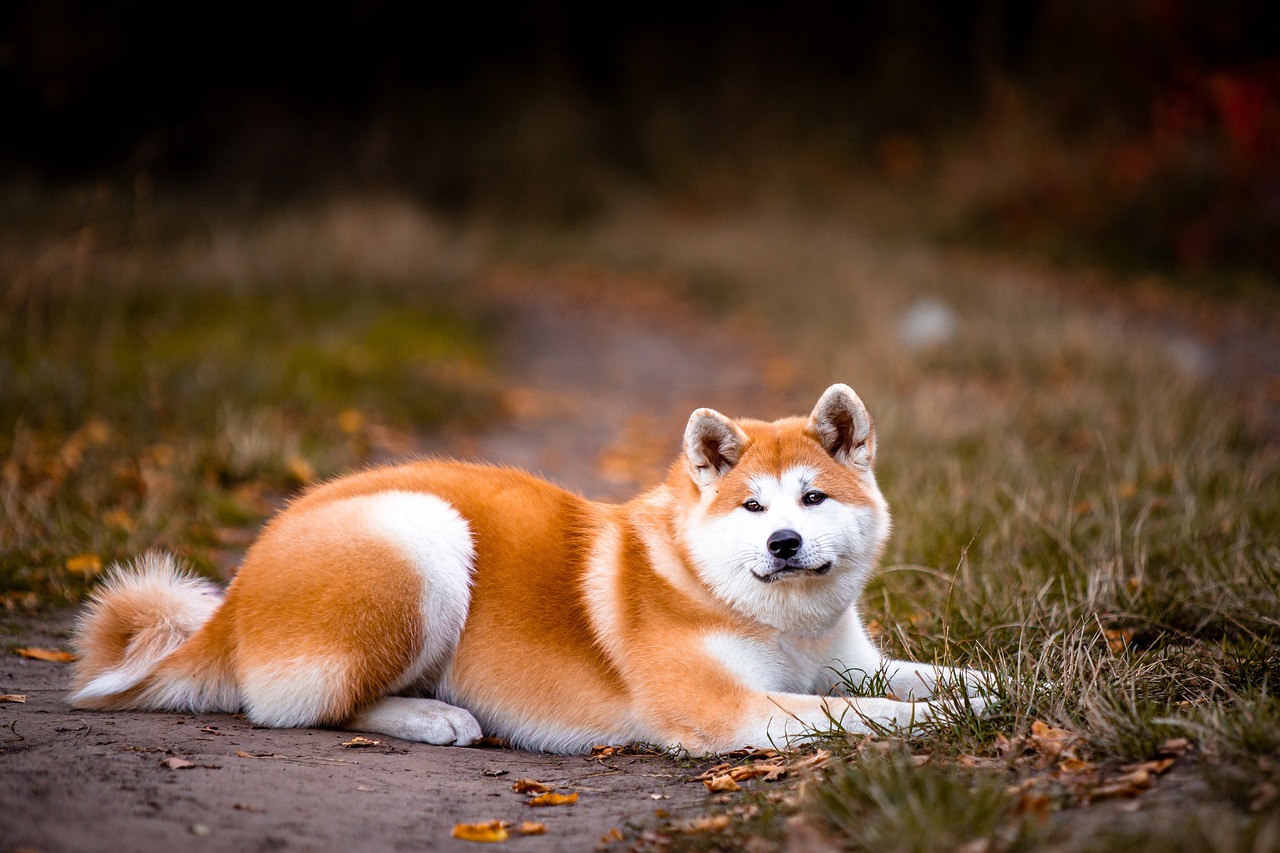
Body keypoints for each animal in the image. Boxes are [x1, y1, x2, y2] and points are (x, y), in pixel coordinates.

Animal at [67, 384, 988, 753]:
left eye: (813, 497)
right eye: (752, 507)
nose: (785, 544)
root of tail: (235, 591)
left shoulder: (849, 661)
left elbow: (929, 679)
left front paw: (992, 692)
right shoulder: (724, 706)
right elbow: (858, 714)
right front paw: (939, 721)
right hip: (425, 535)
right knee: (301, 708)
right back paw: (434, 716)